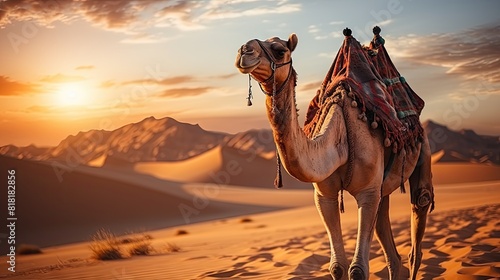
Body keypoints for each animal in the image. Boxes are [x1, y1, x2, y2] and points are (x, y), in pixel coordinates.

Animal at [234, 27, 434, 280]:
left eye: (279, 50)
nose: (244, 50)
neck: (339, 143)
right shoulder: (324, 195)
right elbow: (337, 266)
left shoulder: (367, 193)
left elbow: (358, 269)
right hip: (383, 187)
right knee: (390, 244)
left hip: (423, 146)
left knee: (420, 208)